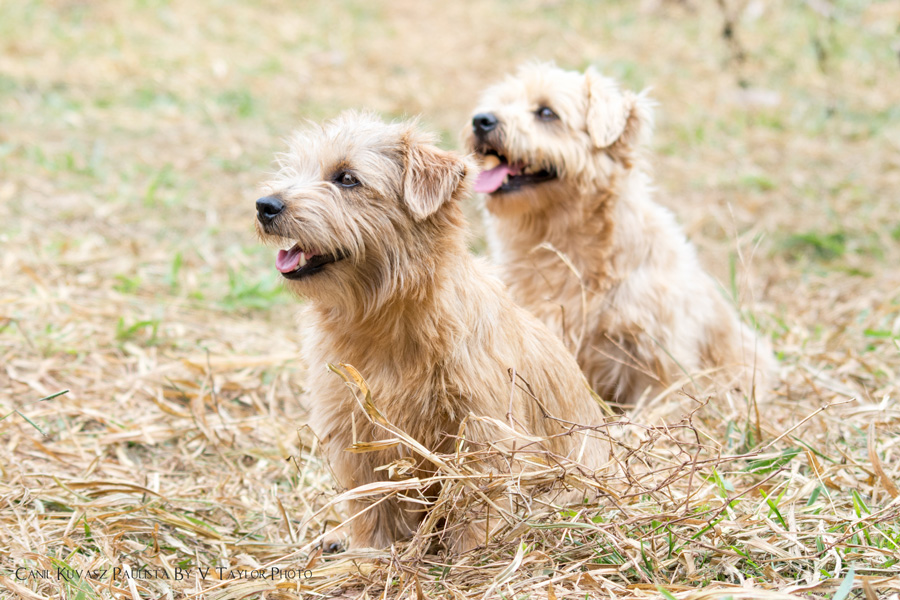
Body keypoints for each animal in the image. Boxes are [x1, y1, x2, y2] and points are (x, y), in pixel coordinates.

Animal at [253, 110, 612, 552]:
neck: (383, 318)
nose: (265, 205)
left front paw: (470, 554)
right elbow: (370, 504)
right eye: (294, 169)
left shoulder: (481, 430)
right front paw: (368, 553)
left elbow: (475, 500)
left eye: (347, 178)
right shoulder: (354, 428)